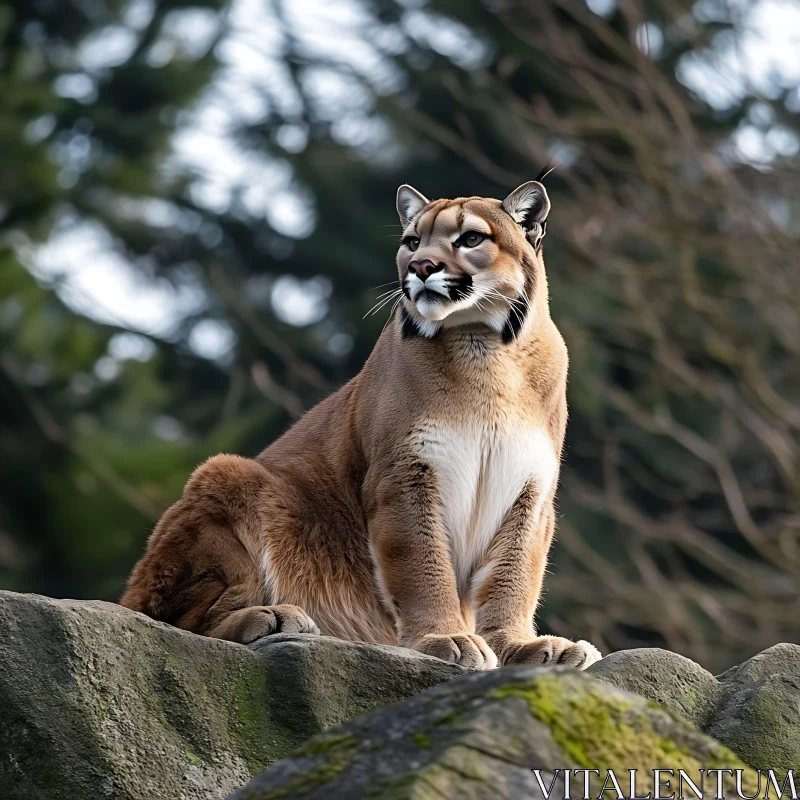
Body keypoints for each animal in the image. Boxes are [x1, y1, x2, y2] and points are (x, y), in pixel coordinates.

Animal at [122, 180, 600, 668]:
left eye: (470, 238)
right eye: (412, 242)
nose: (421, 266)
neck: (483, 346)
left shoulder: (530, 489)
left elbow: (513, 576)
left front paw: (518, 646)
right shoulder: (403, 475)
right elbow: (422, 564)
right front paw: (444, 638)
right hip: (225, 474)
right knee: (168, 620)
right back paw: (272, 617)